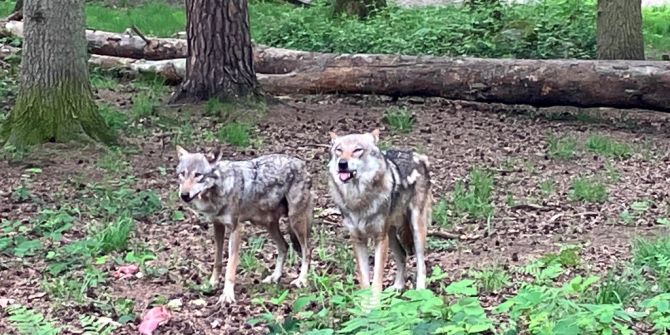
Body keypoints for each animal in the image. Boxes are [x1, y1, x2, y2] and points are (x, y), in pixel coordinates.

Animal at [178, 146, 316, 304]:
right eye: (182, 174)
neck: (221, 187)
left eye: (198, 175)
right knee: (284, 247)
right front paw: (211, 284)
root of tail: (302, 164)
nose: (184, 195)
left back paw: (301, 280)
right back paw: (275, 277)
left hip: (295, 221)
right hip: (269, 224)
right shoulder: (217, 226)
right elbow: (217, 261)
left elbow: (230, 266)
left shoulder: (236, 228)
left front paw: (227, 295)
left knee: (307, 250)